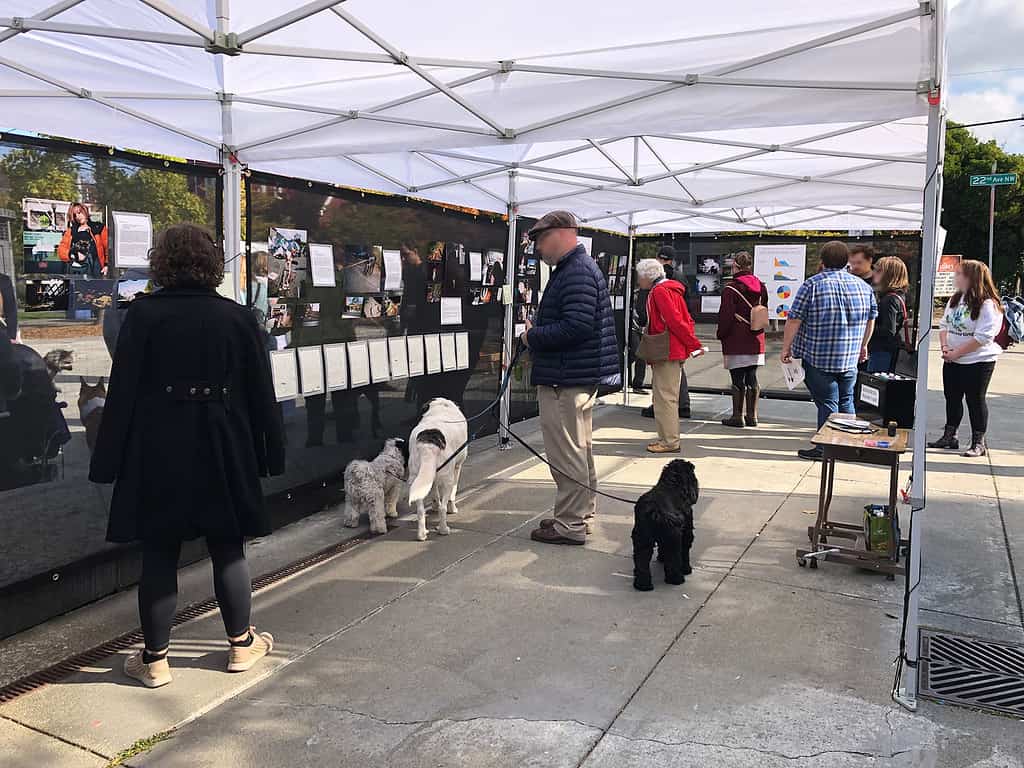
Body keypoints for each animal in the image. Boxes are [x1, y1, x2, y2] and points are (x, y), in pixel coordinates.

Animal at [409, 399, 468, 544]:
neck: (440, 408)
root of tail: (428, 445)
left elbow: (435, 493)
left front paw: (434, 505)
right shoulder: (457, 468)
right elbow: (453, 494)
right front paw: (453, 509)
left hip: (416, 477)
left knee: (420, 510)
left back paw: (421, 534)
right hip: (448, 478)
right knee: (443, 507)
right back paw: (443, 529)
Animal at [626, 460, 700, 593]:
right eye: (693, 477)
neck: (672, 485)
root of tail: (654, 509)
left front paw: (661, 558)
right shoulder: (686, 530)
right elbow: (685, 551)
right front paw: (686, 569)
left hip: (641, 538)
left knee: (642, 560)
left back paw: (642, 585)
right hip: (673, 537)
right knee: (673, 558)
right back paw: (677, 579)